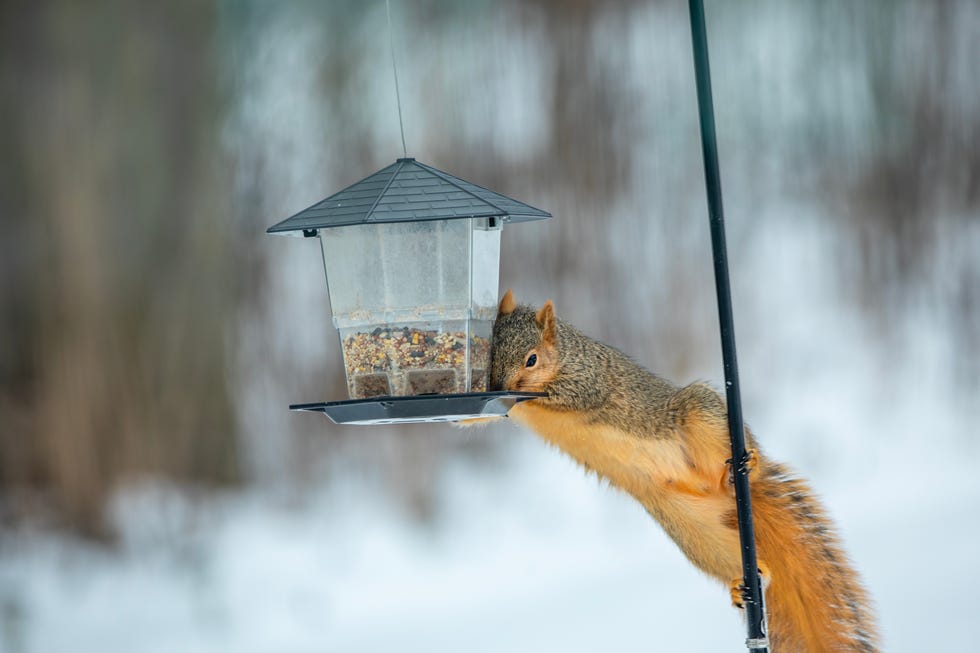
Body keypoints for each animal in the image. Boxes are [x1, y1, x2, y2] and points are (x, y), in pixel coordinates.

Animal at [474, 290, 879, 652]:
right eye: (491, 352)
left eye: (531, 359)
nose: (500, 386)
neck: (565, 352)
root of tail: (718, 489)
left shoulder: (589, 378)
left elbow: (568, 395)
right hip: (690, 529)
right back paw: (744, 582)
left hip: (702, 413)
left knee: (739, 455)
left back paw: (748, 465)